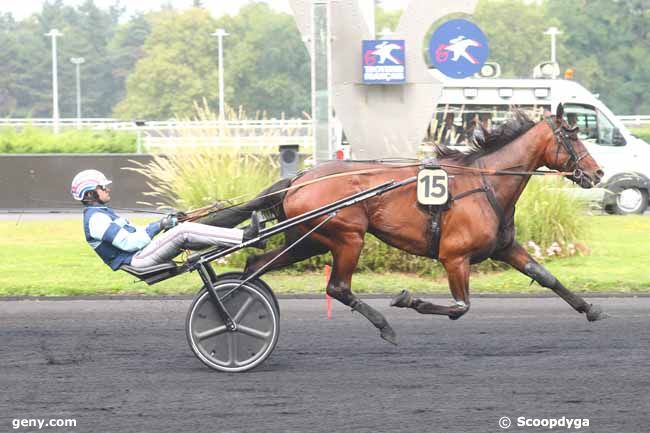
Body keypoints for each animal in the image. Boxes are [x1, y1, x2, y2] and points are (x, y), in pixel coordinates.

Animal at [201, 103, 604, 342]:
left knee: (255, 264)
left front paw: (590, 309)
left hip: (308, 240)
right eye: (572, 136)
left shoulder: (504, 248)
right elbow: (460, 307)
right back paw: (385, 326)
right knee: (338, 287)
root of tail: (299, 178)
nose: (597, 173)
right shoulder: (454, 257)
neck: (485, 182)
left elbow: (545, 276)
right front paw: (410, 299)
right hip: (347, 237)